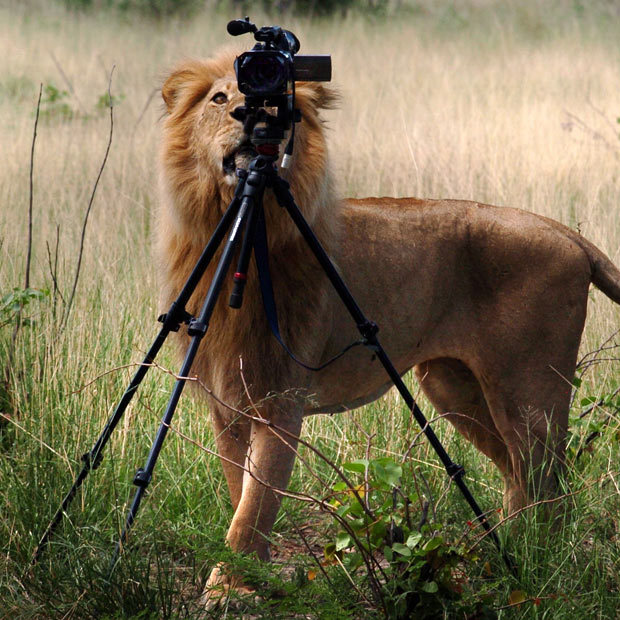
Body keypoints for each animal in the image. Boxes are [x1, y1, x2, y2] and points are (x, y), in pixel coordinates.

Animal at [156, 49, 620, 600]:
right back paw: (501, 552)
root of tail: (565, 233)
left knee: (549, 485)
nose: (246, 119)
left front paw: (226, 590)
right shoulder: (225, 401)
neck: (242, 227)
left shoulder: (280, 401)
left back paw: (536, 563)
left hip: (528, 395)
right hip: (454, 387)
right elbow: (243, 496)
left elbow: (251, 511)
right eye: (218, 98)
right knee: (519, 478)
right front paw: (255, 579)